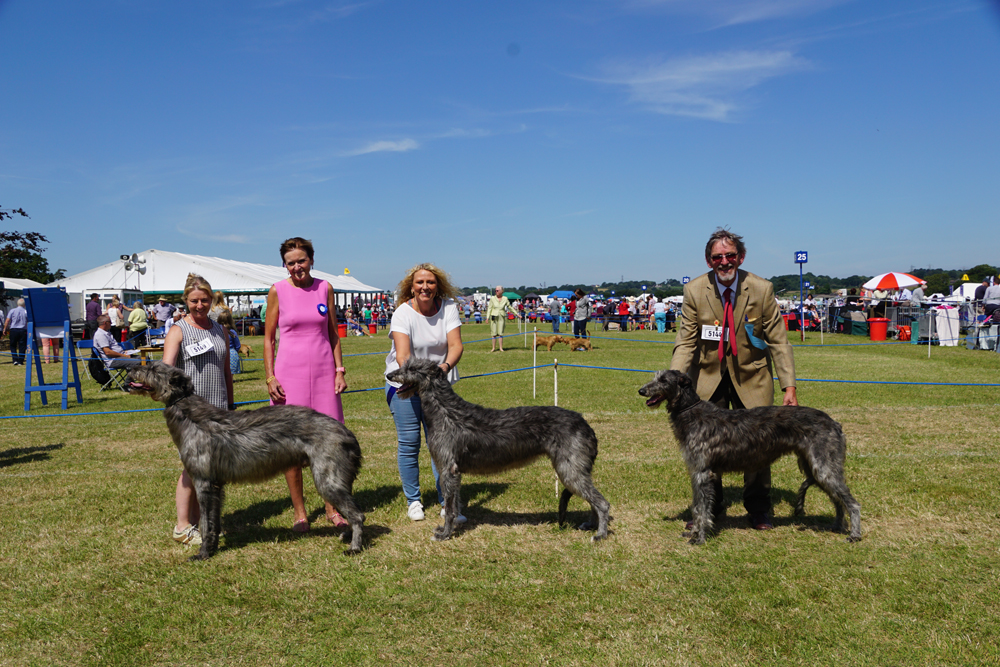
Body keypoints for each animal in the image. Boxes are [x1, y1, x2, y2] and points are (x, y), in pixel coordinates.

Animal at [128, 362, 364, 560]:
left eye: (152, 368)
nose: (130, 368)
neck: (190, 414)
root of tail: (347, 433)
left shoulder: (204, 483)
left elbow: (205, 522)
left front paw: (203, 553)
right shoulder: (215, 486)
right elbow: (213, 520)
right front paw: (212, 547)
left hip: (327, 480)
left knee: (358, 515)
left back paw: (355, 547)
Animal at [386, 358, 608, 540]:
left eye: (413, 369)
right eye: (404, 365)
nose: (389, 375)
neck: (445, 410)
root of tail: (586, 424)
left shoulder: (448, 470)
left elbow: (449, 508)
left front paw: (445, 534)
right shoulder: (454, 472)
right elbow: (454, 504)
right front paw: (449, 529)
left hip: (569, 470)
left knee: (602, 502)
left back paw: (600, 534)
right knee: (592, 499)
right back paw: (591, 524)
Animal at [640, 368, 860, 544]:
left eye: (663, 380)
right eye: (654, 377)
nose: (641, 391)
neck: (690, 412)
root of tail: (835, 423)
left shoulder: (702, 472)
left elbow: (702, 508)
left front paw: (700, 537)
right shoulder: (697, 472)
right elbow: (697, 507)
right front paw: (693, 532)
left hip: (824, 467)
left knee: (852, 502)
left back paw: (855, 535)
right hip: (816, 467)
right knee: (838, 500)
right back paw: (837, 526)